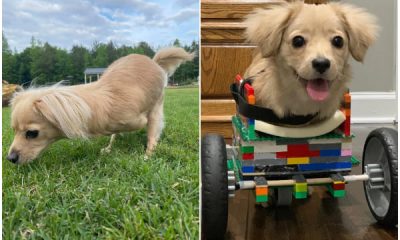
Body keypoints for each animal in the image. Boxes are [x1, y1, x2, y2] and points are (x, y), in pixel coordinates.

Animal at [6, 47, 194, 163]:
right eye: (14, 131)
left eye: (32, 133)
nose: (10, 159)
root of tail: (154, 61)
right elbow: (115, 133)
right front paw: (110, 146)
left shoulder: (139, 120)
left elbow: (150, 131)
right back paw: (109, 148)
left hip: (156, 106)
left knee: (153, 130)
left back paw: (148, 154)